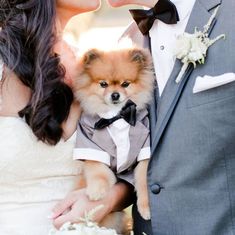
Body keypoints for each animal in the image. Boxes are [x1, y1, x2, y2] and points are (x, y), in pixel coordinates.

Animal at [73, 45, 154, 231]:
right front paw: (96, 191)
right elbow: (98, 171)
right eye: (103, 84)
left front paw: (146, 207)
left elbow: (143, 179)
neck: (116, 116)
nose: (115, 94)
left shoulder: (144, 148)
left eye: (125, 84)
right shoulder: (90, 143)